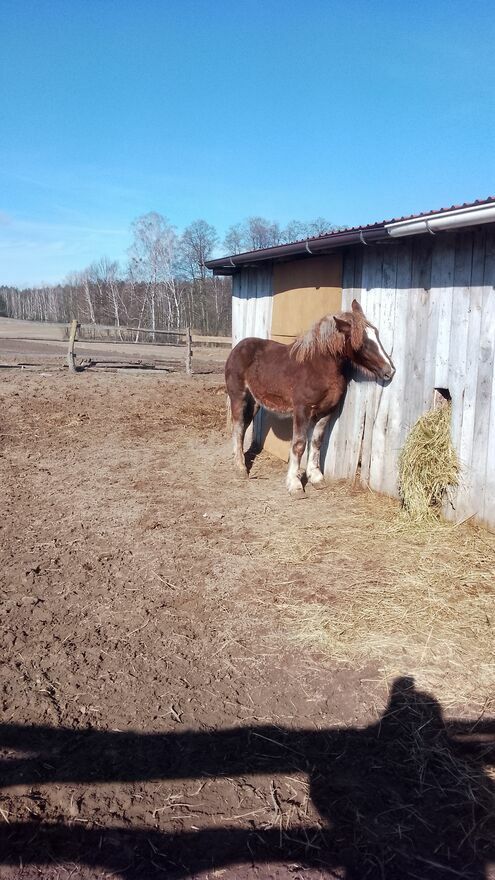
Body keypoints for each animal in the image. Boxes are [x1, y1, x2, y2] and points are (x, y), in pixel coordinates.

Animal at [225, 299, 395, 496]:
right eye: (361, 342)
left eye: (376, 333)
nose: (389, 370)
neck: (319, 368)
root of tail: (237, 348)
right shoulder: (302, 410)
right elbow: (299, 444)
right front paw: (295, 484)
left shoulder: (326, 411)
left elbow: (316, 442)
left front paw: (316, 477)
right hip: (238, 397)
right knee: (238, 428)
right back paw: (240, 468)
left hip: (255, 402)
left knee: (243, 428)